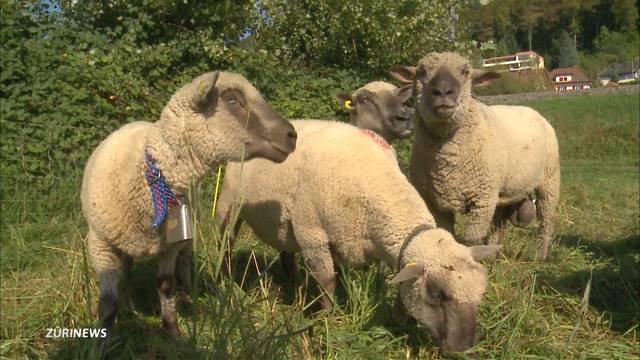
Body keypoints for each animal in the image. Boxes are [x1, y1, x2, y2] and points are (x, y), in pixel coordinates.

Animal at [80, 71, 298, 346]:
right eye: (232, 99)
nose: (292, 135)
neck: (153, 177)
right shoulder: (100, 244)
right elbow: (108, 304)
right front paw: (101, 342)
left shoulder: (170, 247)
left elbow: (165, 285)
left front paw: (174, 333)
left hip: (186, 235)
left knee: (184, 264)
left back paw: (189, 292)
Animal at [218, 121, 502, 352]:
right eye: (436, 294)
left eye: (480, 293)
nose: (464, 348)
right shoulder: (312, 235)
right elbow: (327, 282)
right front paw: (326, 320)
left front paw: (398, 322)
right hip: (229, 205)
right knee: (225, 243)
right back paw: (226, 282)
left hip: (283, 226)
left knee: (286, 253)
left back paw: (296, 286)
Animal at [390, 52, 560, 260]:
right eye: (422, 71)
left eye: (465, 71)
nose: (443, 92)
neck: (447, 164)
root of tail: (532, 111)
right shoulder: (435, 203)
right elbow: (447, 235)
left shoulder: (481, 200)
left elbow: (472, 240)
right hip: (501, 189)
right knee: (498, 224)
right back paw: (494, 253)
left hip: (549, 180)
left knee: (546, 219)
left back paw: (541, 256)